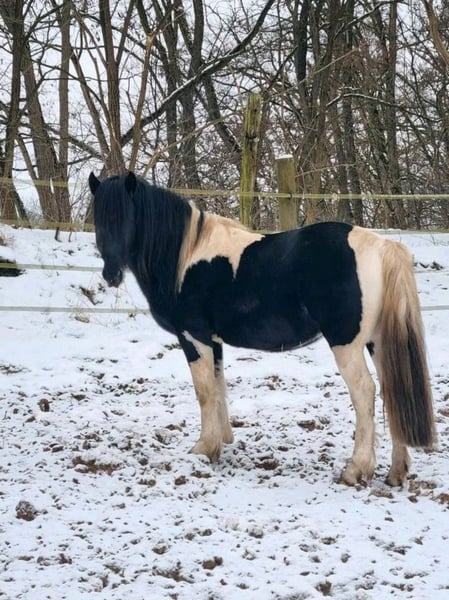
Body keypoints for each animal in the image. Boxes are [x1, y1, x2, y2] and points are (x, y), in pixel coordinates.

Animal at [88, 171, 435, 486]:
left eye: (126, 217)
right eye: (99, 218)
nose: (111, 274)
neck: (183, 257)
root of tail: (382, 246)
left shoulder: (194, 338)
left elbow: (204, 391)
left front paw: (203, 449)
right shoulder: (214, 342)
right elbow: (219, 387)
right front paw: (222, 442)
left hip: (345, 343)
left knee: (365, 392)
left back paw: (355, 470)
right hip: (378, 342)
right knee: (394, 389)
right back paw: (396, 473)